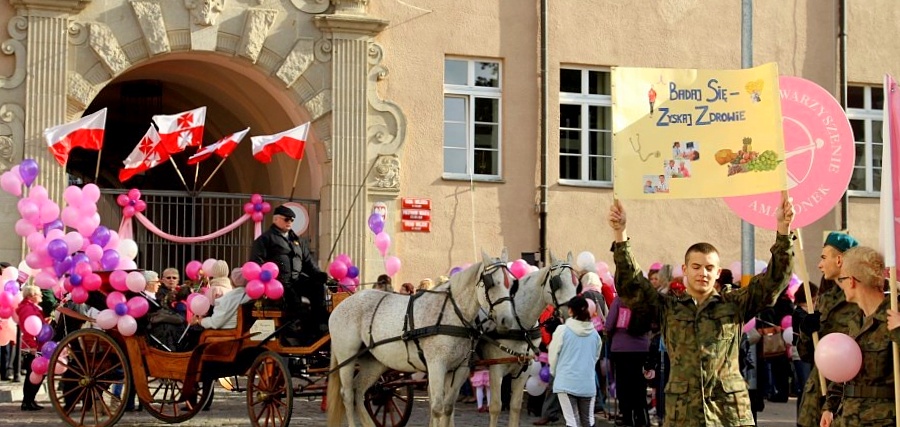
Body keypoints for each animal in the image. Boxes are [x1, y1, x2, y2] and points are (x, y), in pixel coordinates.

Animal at [326, 249, 516, 426]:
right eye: (492, 283)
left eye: (512, 285)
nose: (507, 320)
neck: (452, 314)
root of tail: (340, 306)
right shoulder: (436, 365)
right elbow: (438, 408)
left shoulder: (460, 368)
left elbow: (448, 408)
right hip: (347, 356)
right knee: (347, 394)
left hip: (374, 361)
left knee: (359, 391)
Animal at [482, 252, 580, 427]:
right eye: (557, 283)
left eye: (577, 284)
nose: (575, 312)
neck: (519, 325)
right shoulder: (496, 368)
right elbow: (495, 407)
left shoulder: (523, 369)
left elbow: (515, 407)